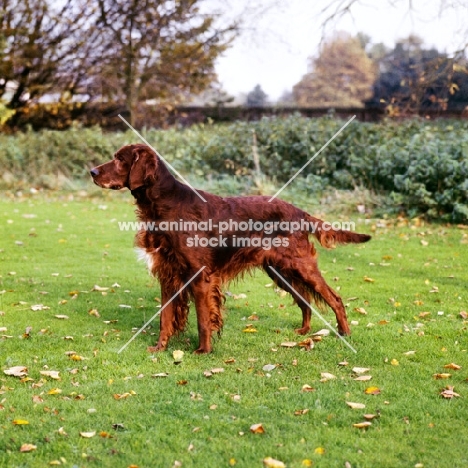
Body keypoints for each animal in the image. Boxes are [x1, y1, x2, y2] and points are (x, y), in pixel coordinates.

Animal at [90, 144, 370, 352]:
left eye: (119, 159)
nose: (92, 171)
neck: (165, 205)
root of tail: (300, 211)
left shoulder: (200, 276)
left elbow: (203, 320)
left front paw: (203, 351)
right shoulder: (168, 275)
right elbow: (165, 317)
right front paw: (159, 348)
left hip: (301, 265)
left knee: (334, 298)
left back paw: (344, 333)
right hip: (280, 270)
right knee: (305, 300)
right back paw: (303, 330)